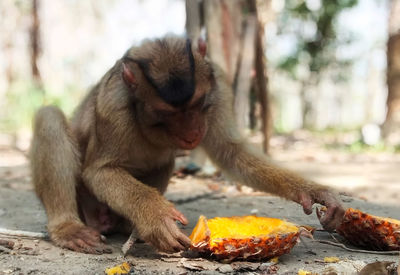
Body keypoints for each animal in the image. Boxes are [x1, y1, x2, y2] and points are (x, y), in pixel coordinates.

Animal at [30, 35, 344, 256]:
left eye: (197, 104)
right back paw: (68, 228)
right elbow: (101, 171)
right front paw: (155, 216)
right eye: (166, 114)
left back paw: (130, 228)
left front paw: (312, 191)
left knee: (163, 159)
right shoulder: (113, 102)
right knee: (50, 118)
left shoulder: (219, 88)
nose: (193, 133)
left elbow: (232, 153)